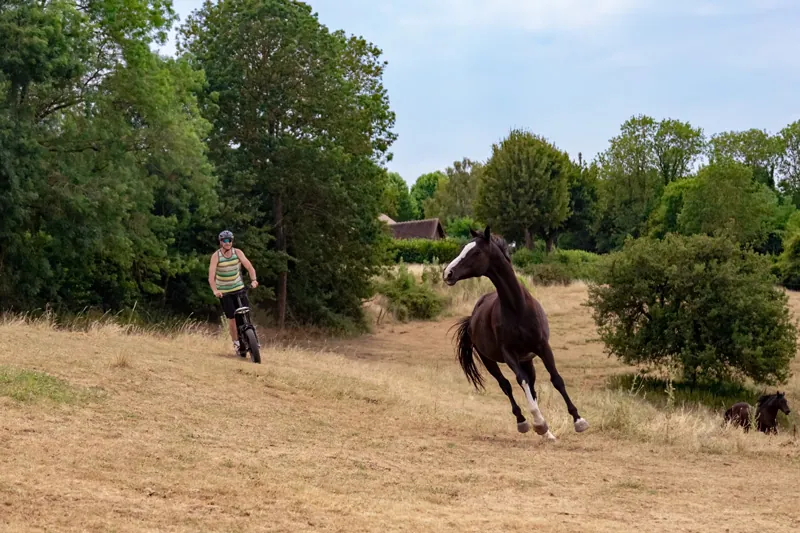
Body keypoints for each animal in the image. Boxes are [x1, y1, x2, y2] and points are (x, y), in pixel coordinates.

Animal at [443, 227, 588, 441]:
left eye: (476, 252)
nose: (448, 273)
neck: (518, 307)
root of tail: (472, 318)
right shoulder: (508, 354)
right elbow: (521, 381)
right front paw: (539, 423)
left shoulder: (542, 347)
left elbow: (556, 379)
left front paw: (578, 421)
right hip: (490, 360)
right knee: (506, 385)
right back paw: (524, 422)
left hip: (527, 360)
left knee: (532, 387)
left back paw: (547, 434)